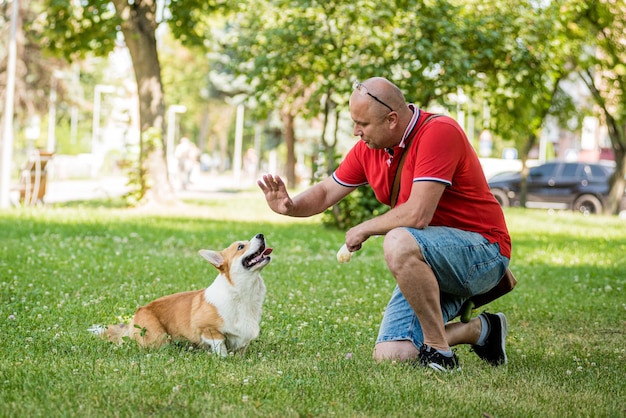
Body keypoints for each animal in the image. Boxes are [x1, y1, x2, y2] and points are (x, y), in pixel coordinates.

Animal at [88, 233, 270, 354]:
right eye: (240, 247)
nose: (260, 235)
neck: (242, 293)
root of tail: (135, 317)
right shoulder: (207, 330)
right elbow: (221, 347)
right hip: (159, 338)